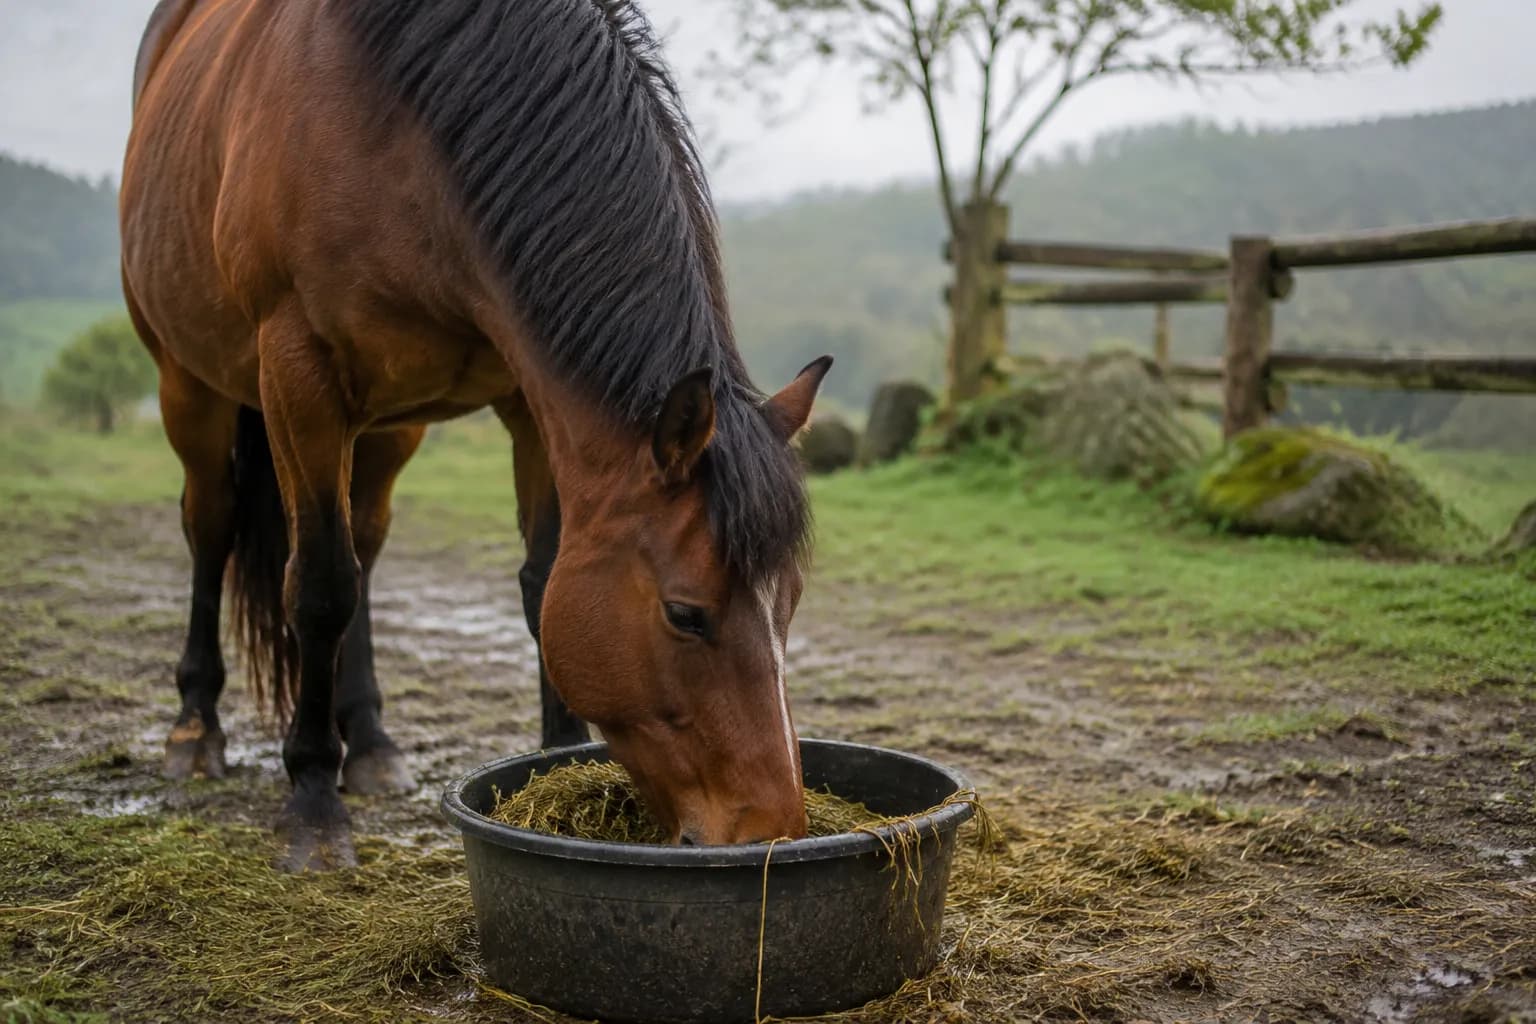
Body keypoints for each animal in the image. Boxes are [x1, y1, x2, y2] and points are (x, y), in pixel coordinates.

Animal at [122, 0, 830, 871]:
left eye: (789, 602)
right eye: (685, 614)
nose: (770, 833)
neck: (398, 131)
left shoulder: (530, 398)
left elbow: (536, 581)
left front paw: (556, 760)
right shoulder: (298, 377)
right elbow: (317, 589)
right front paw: (314, 805)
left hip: (389, 426)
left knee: (363, 546)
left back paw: (372, 740)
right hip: (189, 385)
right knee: (215, 528)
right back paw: (196, 729)